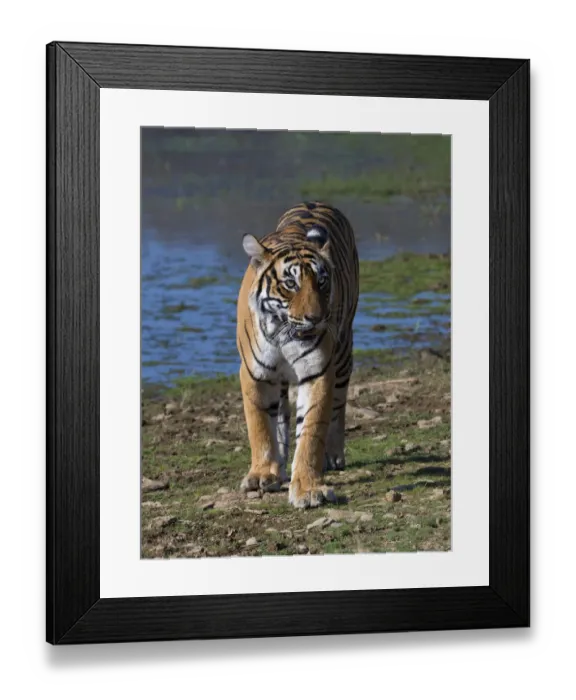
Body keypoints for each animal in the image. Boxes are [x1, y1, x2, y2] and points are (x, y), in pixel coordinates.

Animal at [236, 201, 359, 509]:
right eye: (290, 284)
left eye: (323, 282)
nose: (316, 318)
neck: (283, 331)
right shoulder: (254, 373)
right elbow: (260, 425)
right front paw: (261, 474)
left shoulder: (319, 372)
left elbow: (311, 432)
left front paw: (308, 489)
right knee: (280, 414)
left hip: (343, 355)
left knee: (339, 406)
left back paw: (334, 456)